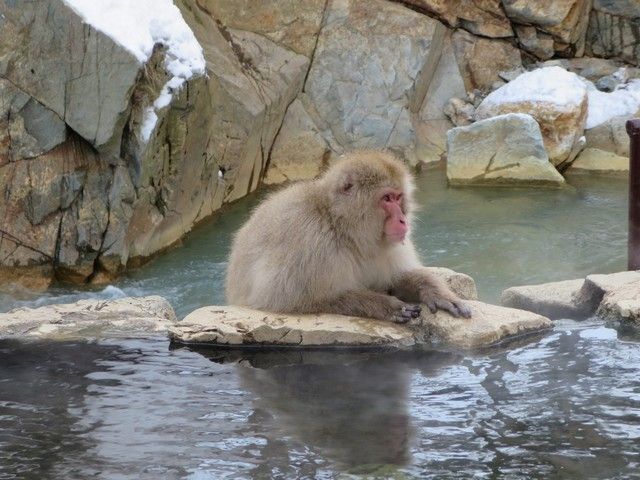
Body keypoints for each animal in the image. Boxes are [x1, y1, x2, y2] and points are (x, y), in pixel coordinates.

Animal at [226, 150, 471, 323]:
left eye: (398, 197)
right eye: (387, 198)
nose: (403, 220)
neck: (340, 227)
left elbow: (391, 279)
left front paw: (436, 292)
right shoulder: (308, 241)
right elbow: (292, 299)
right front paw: (384, 305)